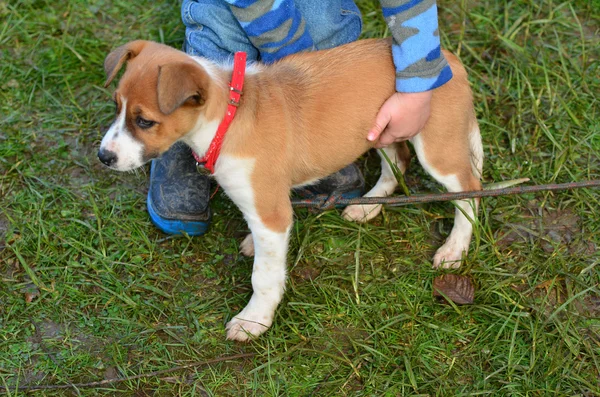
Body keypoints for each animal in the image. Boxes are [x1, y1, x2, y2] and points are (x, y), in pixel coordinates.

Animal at [98, 40, 482, 340]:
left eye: (145, 121)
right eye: (116, 107)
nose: (104, 156)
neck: (227, 119)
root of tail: (448, 57)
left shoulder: (271, 213)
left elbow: (264, 277)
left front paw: (254, 320)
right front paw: (254, 249)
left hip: (437, 149)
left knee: (469, 190)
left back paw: (454, 249)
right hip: (384, 129)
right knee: (398, 161)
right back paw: (368, 205)